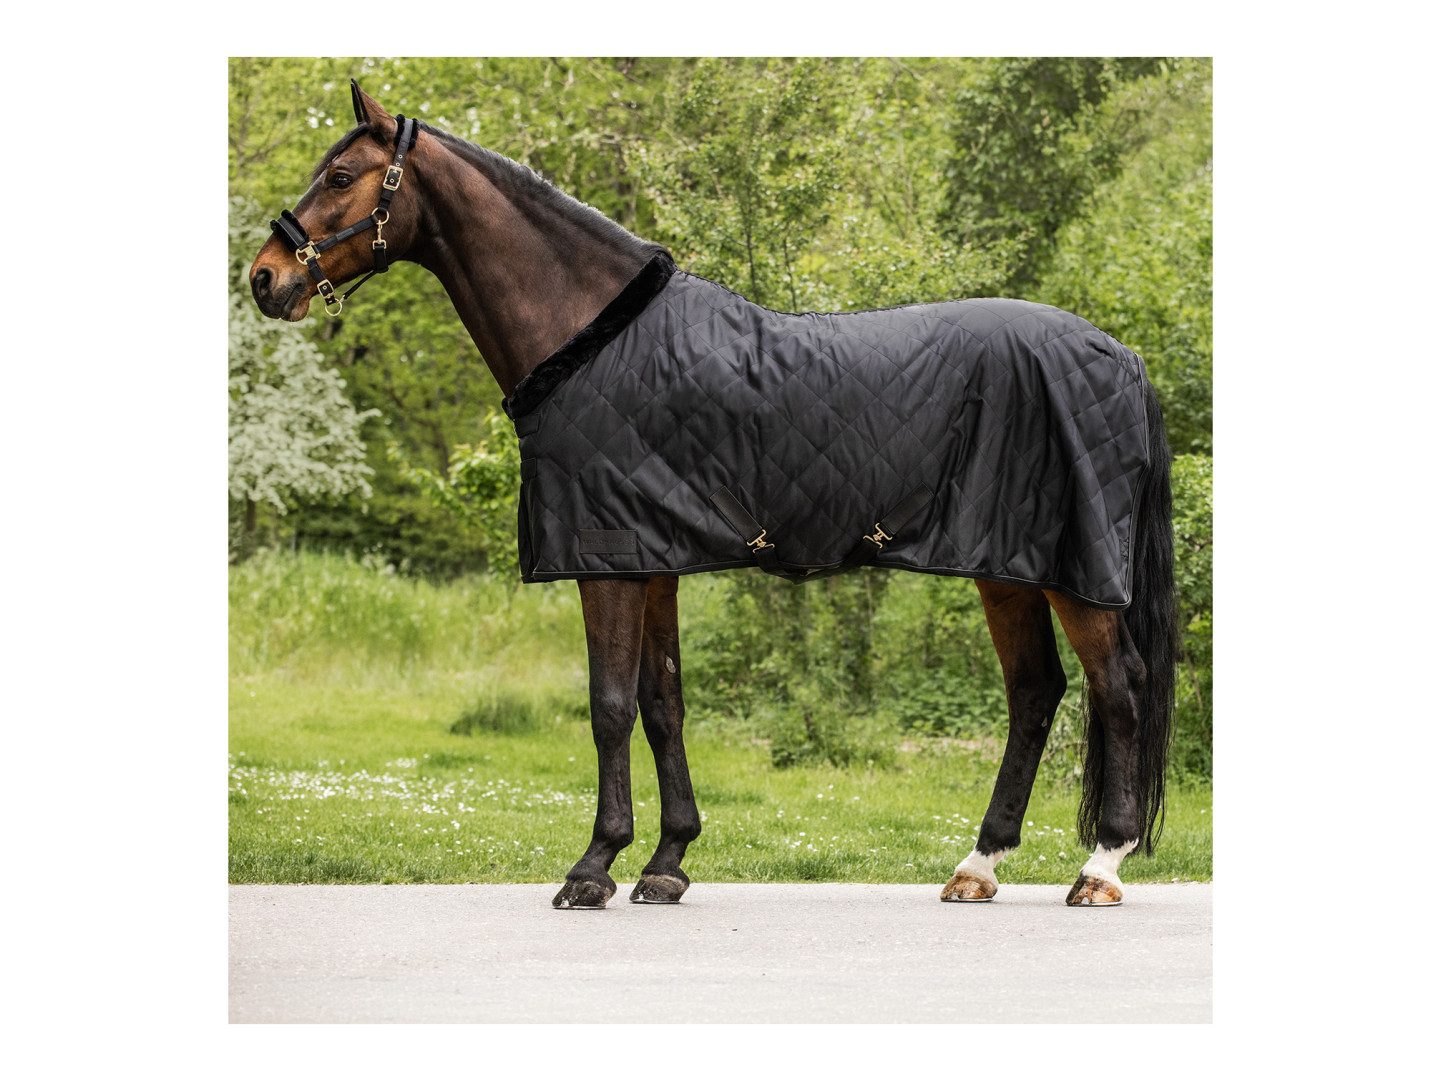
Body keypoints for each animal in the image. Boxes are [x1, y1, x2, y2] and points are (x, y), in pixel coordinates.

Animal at [248, 81, 1177, 909]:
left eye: (340, 175)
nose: (263, 277)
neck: (591, 337)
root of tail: (1123, 358)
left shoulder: (611, 561)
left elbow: (609, 707)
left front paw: (594, 867)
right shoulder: (653, 557)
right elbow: (663, 705)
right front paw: (667, 863)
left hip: (1073, 574)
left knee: (1120, 687)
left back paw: (1100, 867)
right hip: (1007, 567)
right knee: (1036, 694)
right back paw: (977, 867)